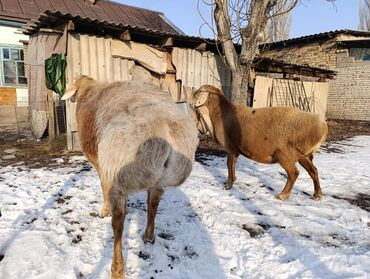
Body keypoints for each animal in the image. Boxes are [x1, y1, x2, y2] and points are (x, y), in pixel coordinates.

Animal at [61, 75, 199, 278]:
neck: (89, 89)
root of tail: (165, 128)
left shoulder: (101, 165)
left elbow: (102, 186)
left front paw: (104, 210)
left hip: (118, 174)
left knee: (119, 224)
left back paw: (117, 269)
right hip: (160, 179)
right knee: (153, 204)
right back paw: (148, 237)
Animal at [192, 85, 328, 201]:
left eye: (198, 92)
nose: (191, 102)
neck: (220, 113)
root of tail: (322, 125)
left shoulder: (231, 147)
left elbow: (229, 165)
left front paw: (228, 185)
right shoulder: (235, 149)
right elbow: (232, 165)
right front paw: (230, 182)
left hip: (285, 154)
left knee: (294, 173)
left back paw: (282, 195)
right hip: (302, 155)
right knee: (314, 171)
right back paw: (317, 195)